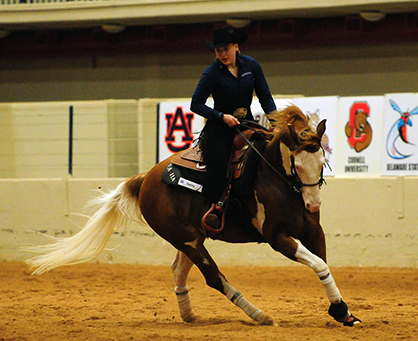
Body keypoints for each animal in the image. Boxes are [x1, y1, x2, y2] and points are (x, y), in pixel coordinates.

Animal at [24, 104, 360, 326]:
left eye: (322, 162)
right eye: (297, 165)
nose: (313, 205)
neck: (274, 178)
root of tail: (146, 178)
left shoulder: (313, 231)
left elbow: (323, 263)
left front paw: (343, 311)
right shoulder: (277, 238)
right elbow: (318, 264)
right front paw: (339, 310)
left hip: (192, 238)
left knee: (178, 270)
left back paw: (188, 314)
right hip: (187, 240)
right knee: (214, 277)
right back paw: (259, 314)